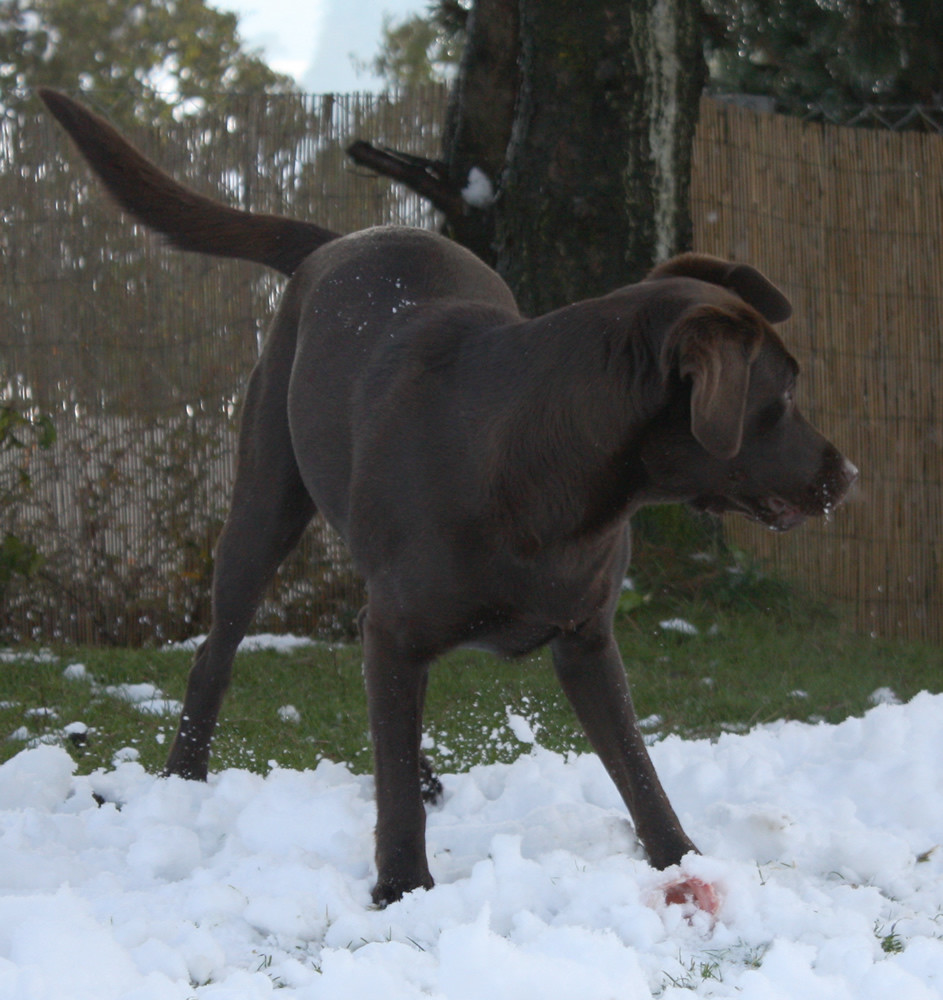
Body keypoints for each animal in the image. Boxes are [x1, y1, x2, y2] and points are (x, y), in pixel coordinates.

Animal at [40, 89, 857, 906]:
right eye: (783, 395)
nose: (849, 475)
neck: (550, 474)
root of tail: (338, 241)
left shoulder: (586, 638)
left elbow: (635, 765)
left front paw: (679, 858)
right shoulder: (401, 627)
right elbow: (396, 777)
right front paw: (402, 886)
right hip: (265, 502)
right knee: (219, 651)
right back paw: (184, 778)